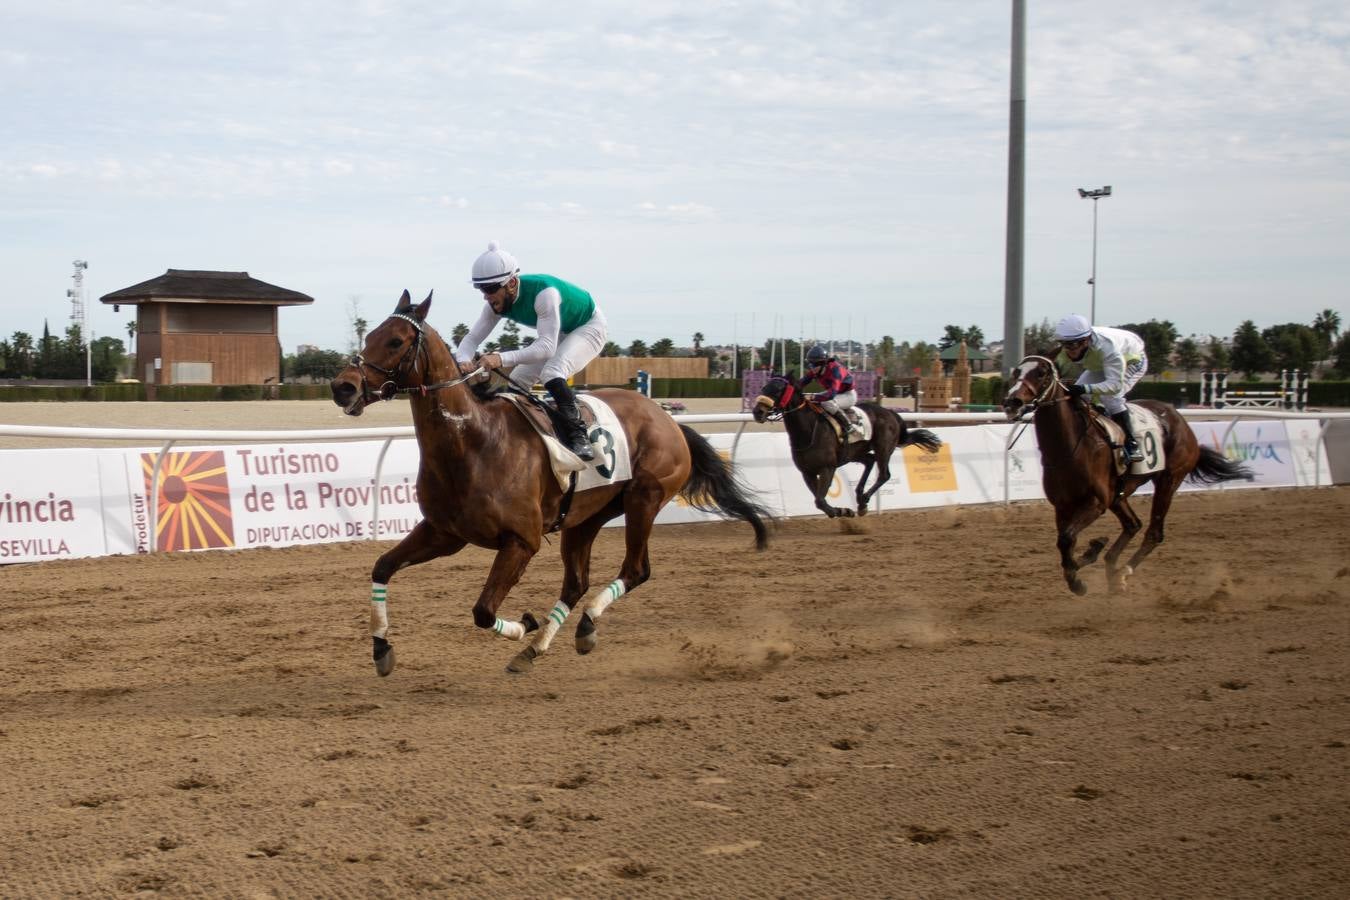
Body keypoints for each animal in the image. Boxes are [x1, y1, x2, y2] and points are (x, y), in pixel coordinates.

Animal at [328, 294, 772, 674]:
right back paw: (536, 649)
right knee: (576, 583)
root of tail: (669, 420)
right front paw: (381, 648)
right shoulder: (444, 533)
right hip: (585, 517)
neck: (473, 442)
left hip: (645, 498)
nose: (342, 386)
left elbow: (483, 611)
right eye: (368, 336)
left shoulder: (521, 541)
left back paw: (584, 626)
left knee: (636, 569)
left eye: (396, 340)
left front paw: (526, 621)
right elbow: (383, 566)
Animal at [750, 372, 939, 512]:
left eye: (777, 390)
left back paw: (863, 500)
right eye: (764, 387)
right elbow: (820, 500)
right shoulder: (807, 472)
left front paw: (842, 511)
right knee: (869, 461)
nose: (757, 412)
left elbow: (820, 500)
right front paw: (841, 511)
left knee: (884, 474)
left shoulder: (827, 467)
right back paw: (860, 497)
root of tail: (891, 413)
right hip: (854, 452)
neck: (808, 431)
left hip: (883, 448)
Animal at [1004, 356, 1252, 593]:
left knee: (1154, 532)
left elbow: (1066, 540)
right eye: (1016, 372)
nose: (1012, 402)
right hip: (1119, 494)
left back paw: (1122, 572)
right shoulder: (1063, 505)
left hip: (1169, 479)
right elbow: (1066, 543)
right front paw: (1084, 564)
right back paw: (1112, 570)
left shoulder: (1096, 502)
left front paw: (1088, 559)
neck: (1069, 448)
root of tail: (1181, 421)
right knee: (1133, 524)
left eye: (1041, 373)